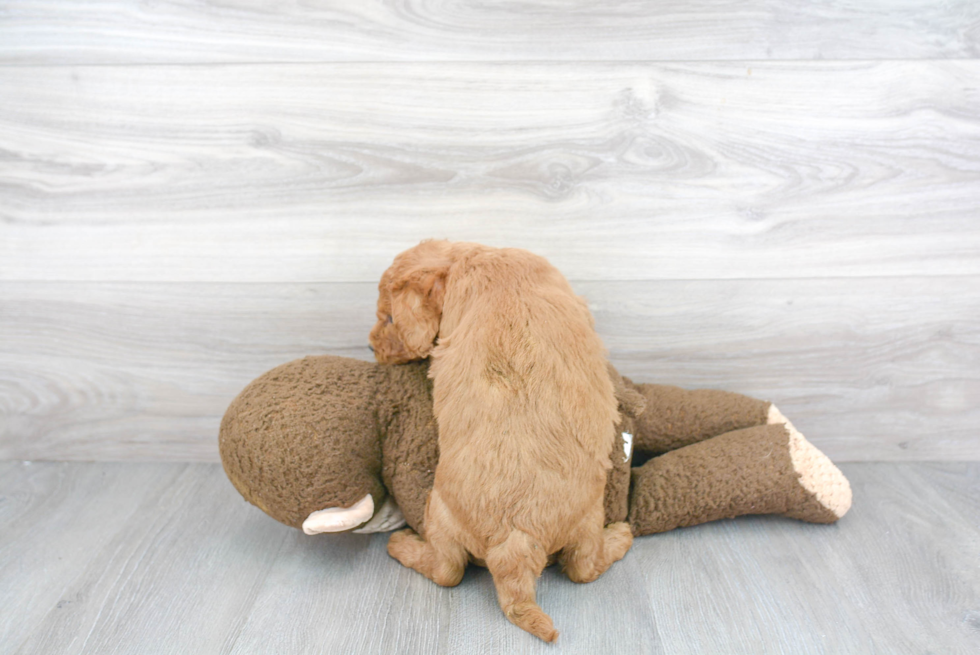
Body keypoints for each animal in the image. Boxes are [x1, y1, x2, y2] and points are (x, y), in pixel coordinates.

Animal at [370, 240, 636, 640]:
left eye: (388, 319)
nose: (371, 347)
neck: (471, 257)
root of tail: (516, 544)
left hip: (442, 513)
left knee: (448, 570)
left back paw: (399, 544)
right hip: (588, 516)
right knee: (581, 568)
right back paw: (621, 536)